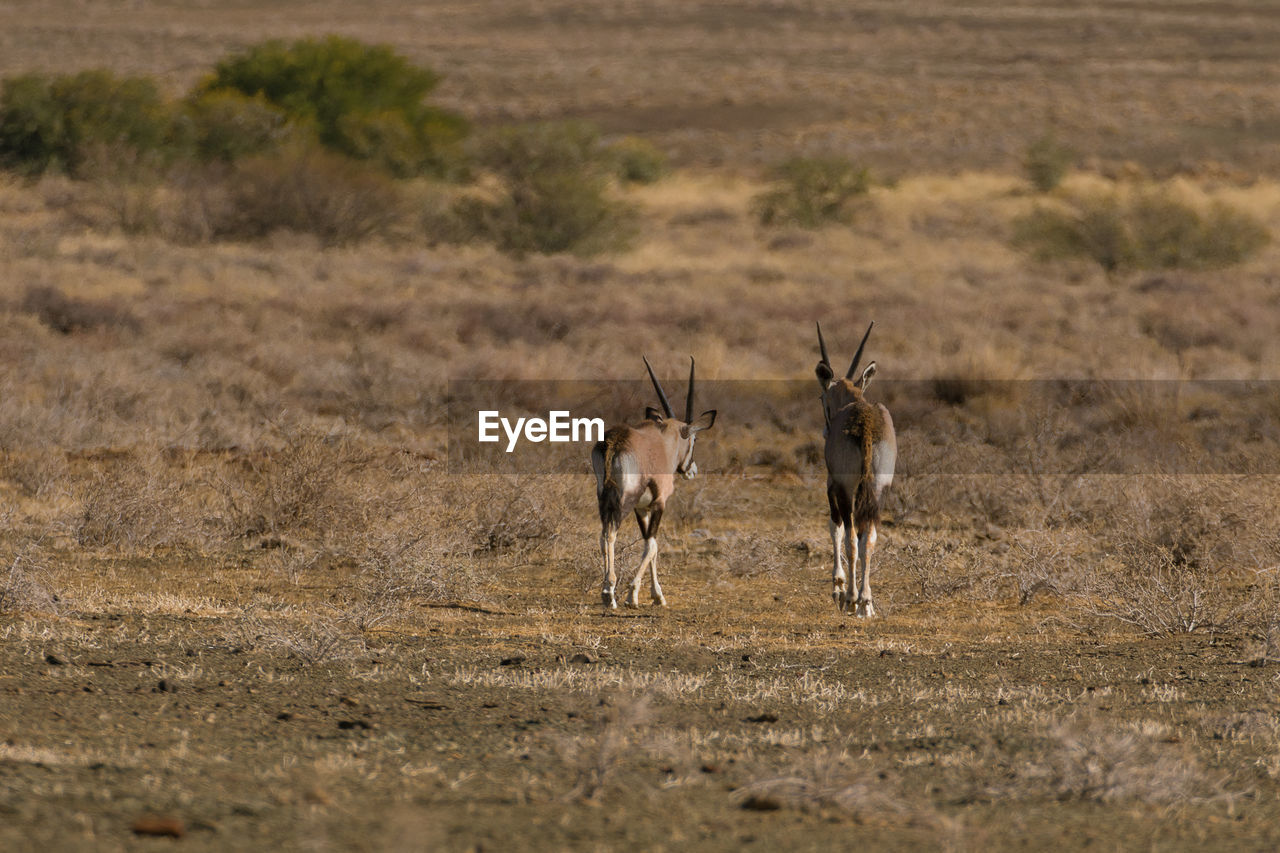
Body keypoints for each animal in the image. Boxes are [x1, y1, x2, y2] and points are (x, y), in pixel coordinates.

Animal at [591, 356, 716, 607]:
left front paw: (657, 594)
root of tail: (613, 441)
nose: (692, 470)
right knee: (611, 534)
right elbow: (652, 545)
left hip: (603, 498)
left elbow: (651, 545)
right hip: (623, 501)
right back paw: (609, 591)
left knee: (602, 535)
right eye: (695, 439)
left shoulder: (643, 508)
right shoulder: (659, 503)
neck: (665, 441)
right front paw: (634, 594)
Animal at [814, 318, 896, 612]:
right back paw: (866, 601)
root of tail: (866, 425)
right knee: (868, 538)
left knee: (850, 537)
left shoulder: (833, 485)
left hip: (847, 489)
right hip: (879, 489)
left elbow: (835, 528)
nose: (825, 431)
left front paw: (838, 588)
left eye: (821, 398)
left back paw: (850, 598)